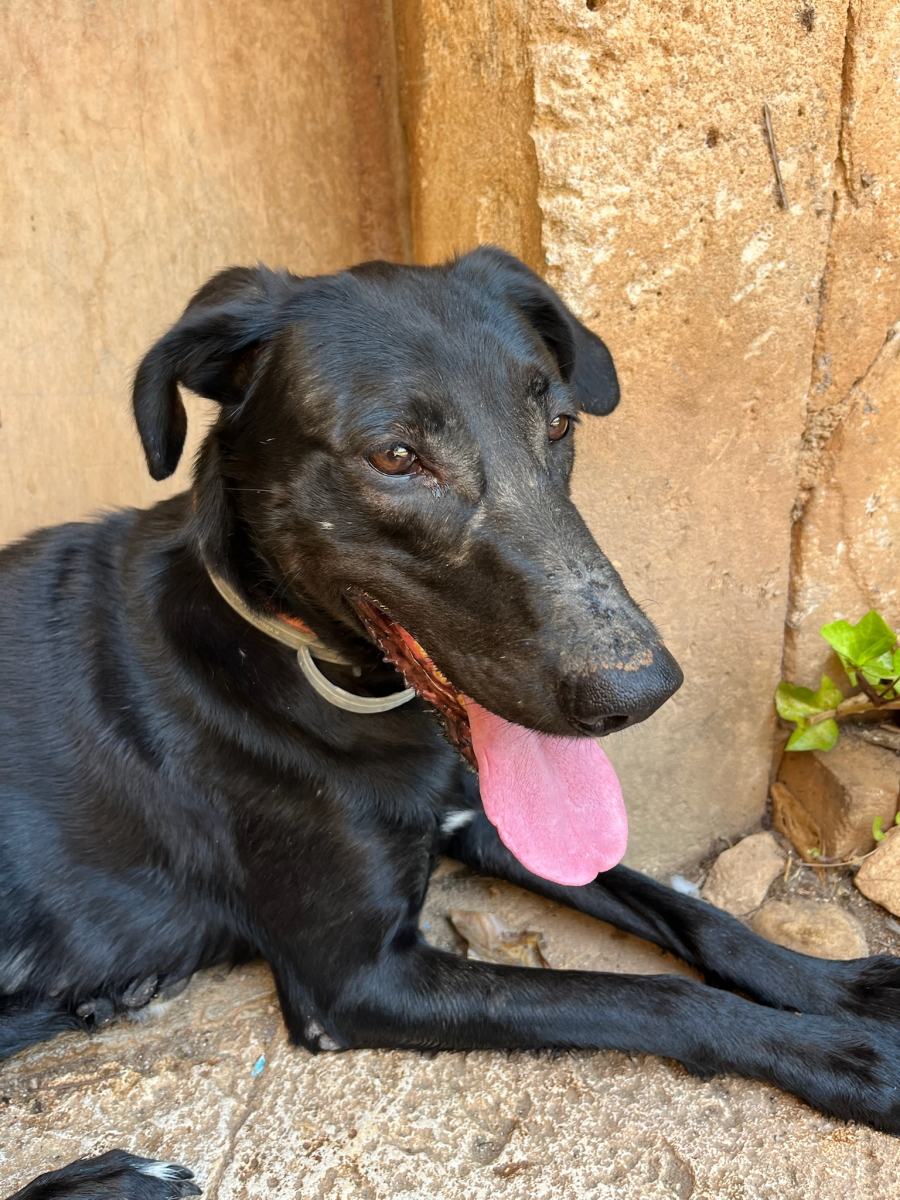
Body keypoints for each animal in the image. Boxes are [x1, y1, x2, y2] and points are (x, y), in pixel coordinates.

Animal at [5, 247, 900, 1198]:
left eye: (559, 423)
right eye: (396, 456)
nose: (645, 689)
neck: (305, 673)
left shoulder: (485, 823)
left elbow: (692, 913)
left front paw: (844, 991)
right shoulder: (359, 981)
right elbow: (648, 993)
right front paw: (847, 1057)